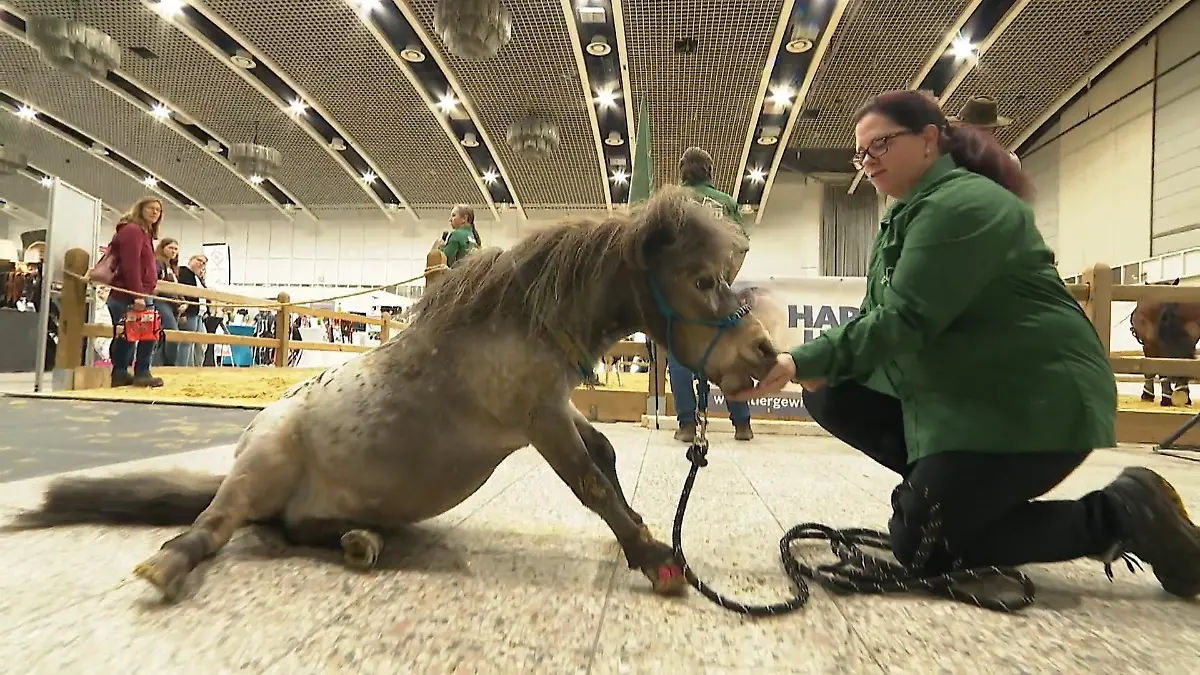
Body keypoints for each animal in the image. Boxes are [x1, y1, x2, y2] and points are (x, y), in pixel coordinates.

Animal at [3, 187, 780, 601]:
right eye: (703, 280)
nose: (765, 354)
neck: (517, 318)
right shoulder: (538, 419)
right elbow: (590, 479)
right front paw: (654, 558)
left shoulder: (555, 409)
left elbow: (607, 458)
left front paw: (648, 538)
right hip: (257, 472)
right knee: (217, 526)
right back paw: (168, 562)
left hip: (325, 507)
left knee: (295, 528)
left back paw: (358, 539)